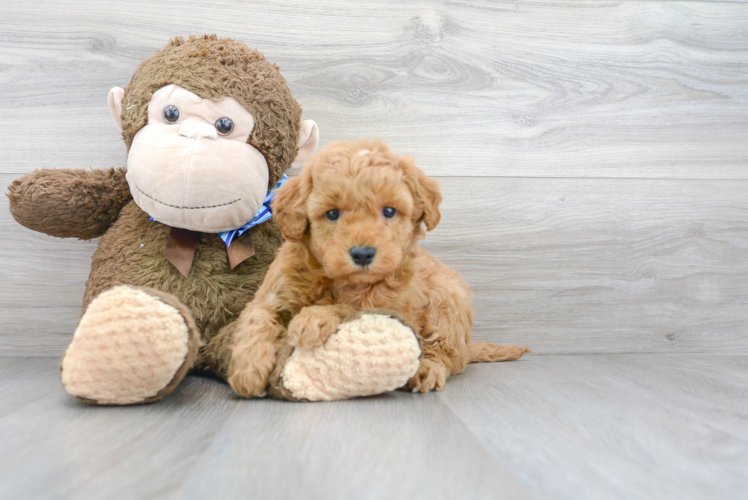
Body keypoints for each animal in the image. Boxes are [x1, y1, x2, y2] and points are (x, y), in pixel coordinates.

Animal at [231, 139, 528, 396]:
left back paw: (426, 370)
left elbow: (347, 308)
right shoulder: (273, 292)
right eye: (332, 213)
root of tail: (468, 347)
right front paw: (248, 370)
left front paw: (312, 319)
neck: (339, 279)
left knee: (445, 353)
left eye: (389, 211)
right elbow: (257, 319)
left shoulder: (384, 307)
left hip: (447, 299)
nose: (363, 254)